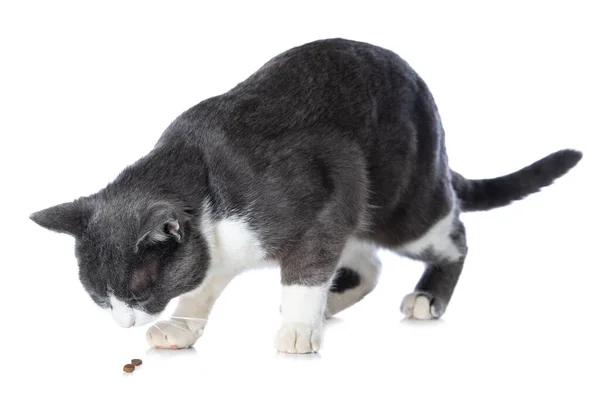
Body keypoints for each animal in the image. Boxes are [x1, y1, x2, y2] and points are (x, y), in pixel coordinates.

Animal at [30, 38, 584, 354]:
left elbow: (306, 269)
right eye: (99, 297)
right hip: (361, 210)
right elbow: (203, 285)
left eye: (138, 294)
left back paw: (422, 298)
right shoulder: (225, 247)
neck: (206, 180)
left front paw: (297, 329)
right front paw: (183, 327)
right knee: (368, 264)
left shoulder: (323, 198)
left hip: (403, 200)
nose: (123, 322)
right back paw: (330, 306)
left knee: (453, 236)